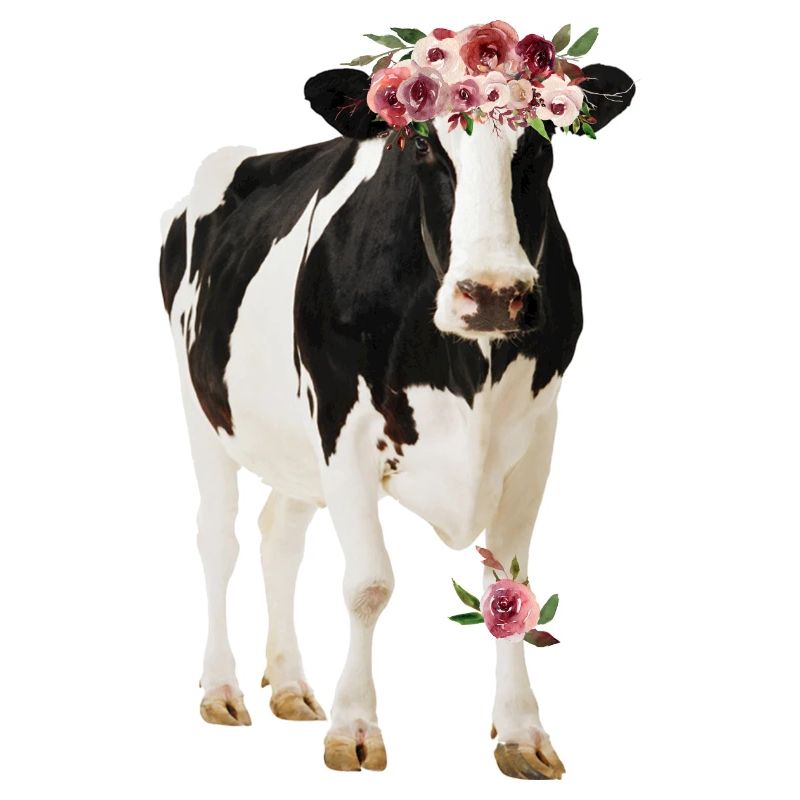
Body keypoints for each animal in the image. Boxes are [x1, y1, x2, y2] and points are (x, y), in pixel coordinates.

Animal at [159, 63, 634, 780]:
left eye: (541, 141)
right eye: (423, 147)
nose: (492, 293)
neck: (466, 370)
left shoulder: (537, 437)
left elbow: (511, 586)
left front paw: (521, 731)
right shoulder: (343, 429)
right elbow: (368, 585)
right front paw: (354, 727)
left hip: (295, 448)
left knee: (279, 537)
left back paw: (292, 685)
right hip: (203, 409)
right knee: (219, 539)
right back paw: (221, 689)